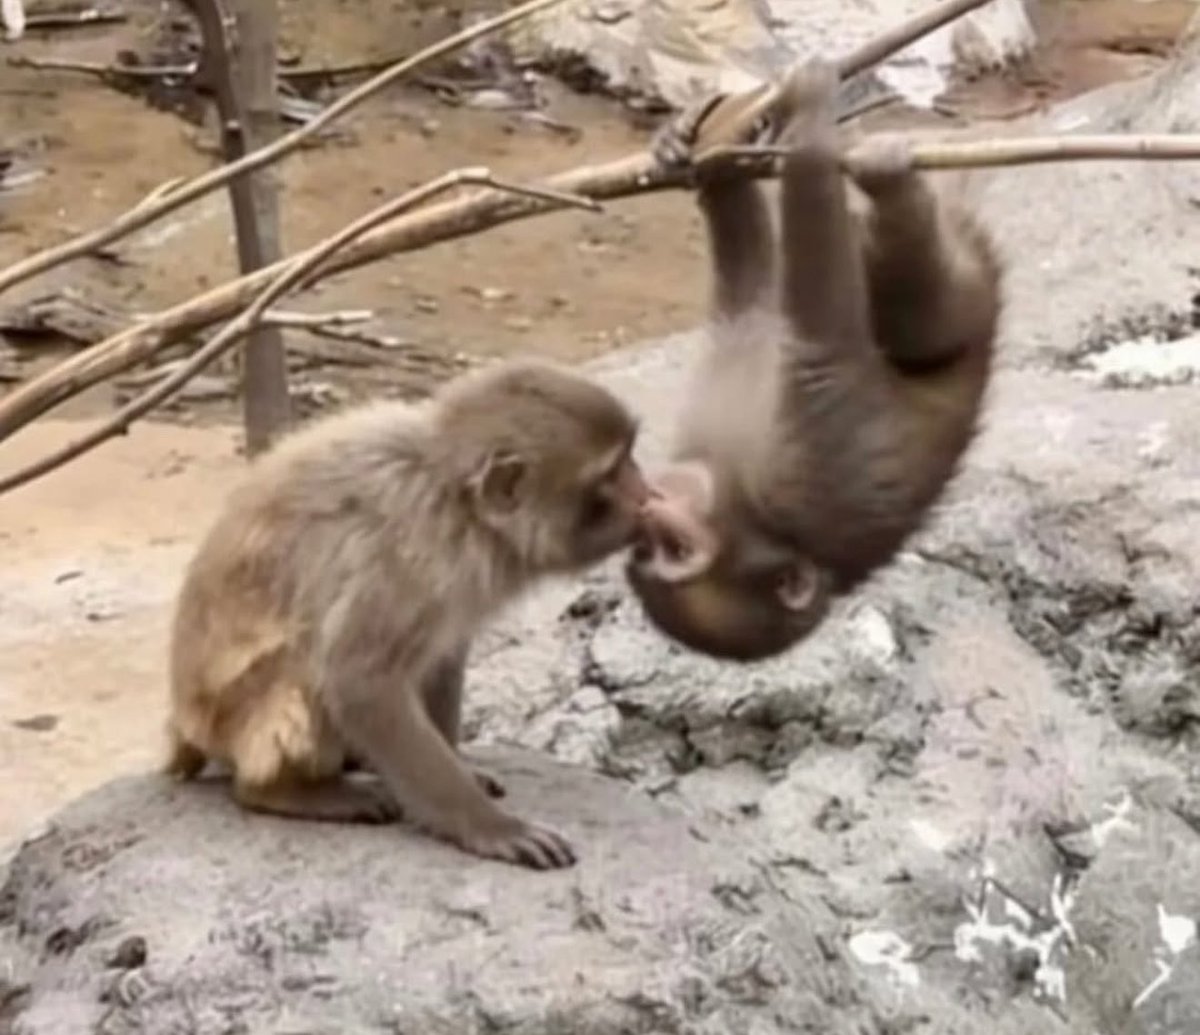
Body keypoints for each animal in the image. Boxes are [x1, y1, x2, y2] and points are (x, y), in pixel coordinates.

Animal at [166, 358, 651, 870]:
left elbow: (443, 653)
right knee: (307, 668)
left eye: (630, 457)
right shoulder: (405, 555)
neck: (459, 504)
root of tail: (184, 728)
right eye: (612, 474)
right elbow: (360, 682)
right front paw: (488, 826)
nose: (646, 492)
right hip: (233, 717)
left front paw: (464, 769)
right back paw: (284, 791)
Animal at [626, 59, 1003, 662]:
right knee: (914, 311)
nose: (645, 502)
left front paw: (711, 139)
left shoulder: (780, 478)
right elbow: (797, 310)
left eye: (674, 547)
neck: (736, 491)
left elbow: (770, 291)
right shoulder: (785, 476)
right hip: (958, 299)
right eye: (649, 548)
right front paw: (803, 129)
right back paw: (890, 184)